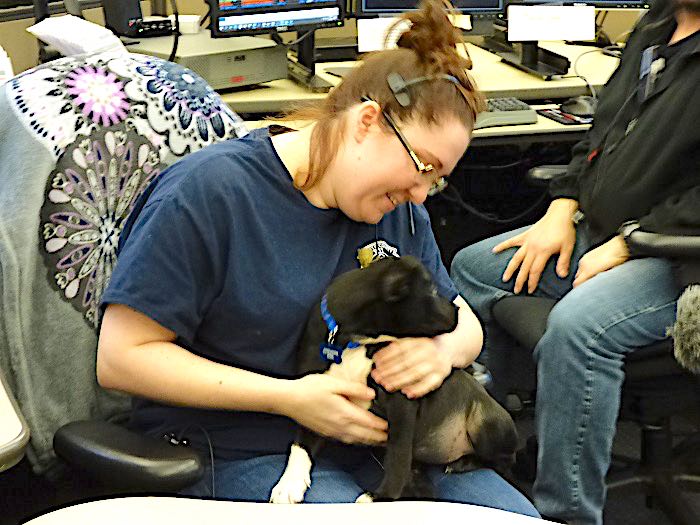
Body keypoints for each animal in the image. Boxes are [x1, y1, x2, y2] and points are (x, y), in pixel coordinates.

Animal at [270, 256, 516, 502]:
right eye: (433, 291)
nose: (457, 309)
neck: (353, 342)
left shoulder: (401, 404)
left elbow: (397, 457)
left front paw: (380, 498)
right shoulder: (317, 398)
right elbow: (301, 444)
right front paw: (289, 483)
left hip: (485, 423)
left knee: (504, 461)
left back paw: (463, 463)